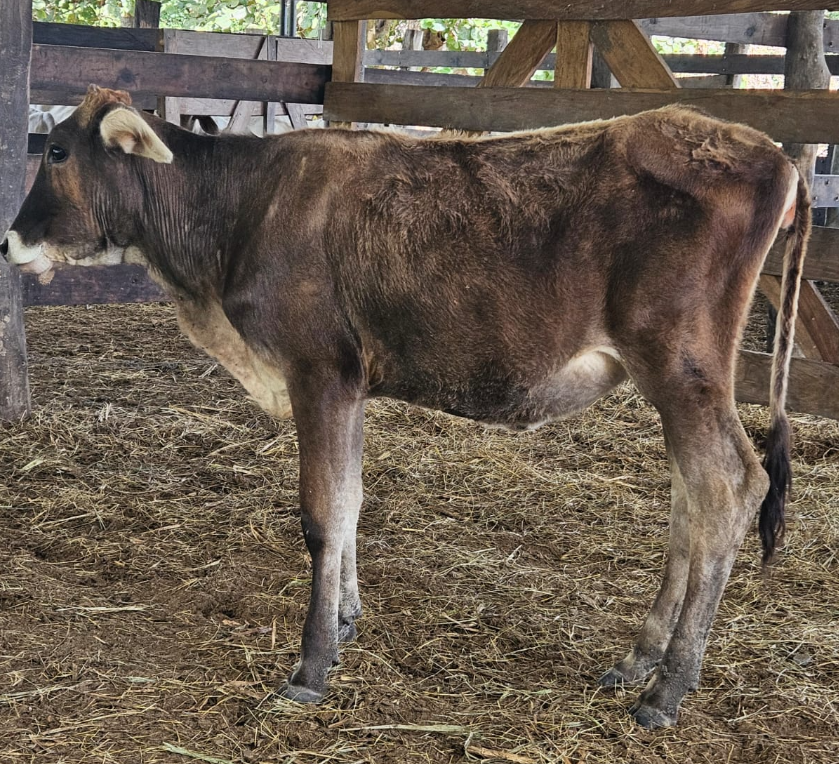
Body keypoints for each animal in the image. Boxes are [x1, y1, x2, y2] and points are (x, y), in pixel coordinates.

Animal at [2, 85, 809, 729]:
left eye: (58, 151)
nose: (10, 241)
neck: (240, 211)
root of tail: (770, 152)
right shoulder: (349, 382)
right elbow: (352, 500)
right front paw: (346, 620)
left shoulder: (318, 370)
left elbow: (322, 513)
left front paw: (311, 666)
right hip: (675, 379)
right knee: (688, 500)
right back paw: (640, 659)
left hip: (680, 365)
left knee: (728, 487)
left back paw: (667, 689)